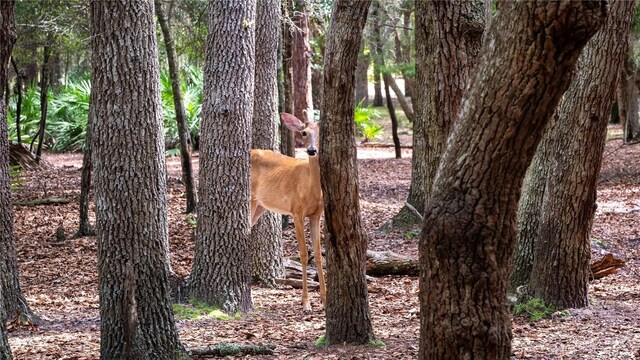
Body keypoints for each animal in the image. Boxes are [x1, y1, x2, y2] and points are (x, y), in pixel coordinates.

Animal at [251, 112, 324, 312]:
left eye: (321, 132)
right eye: (304, 132)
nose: (312, 150)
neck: (311, 188)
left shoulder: (316, 215)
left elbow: (319, 254)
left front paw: (325, 298)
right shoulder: (297, 211)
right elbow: (304, 254)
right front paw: (306, 303)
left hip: (260, 206)